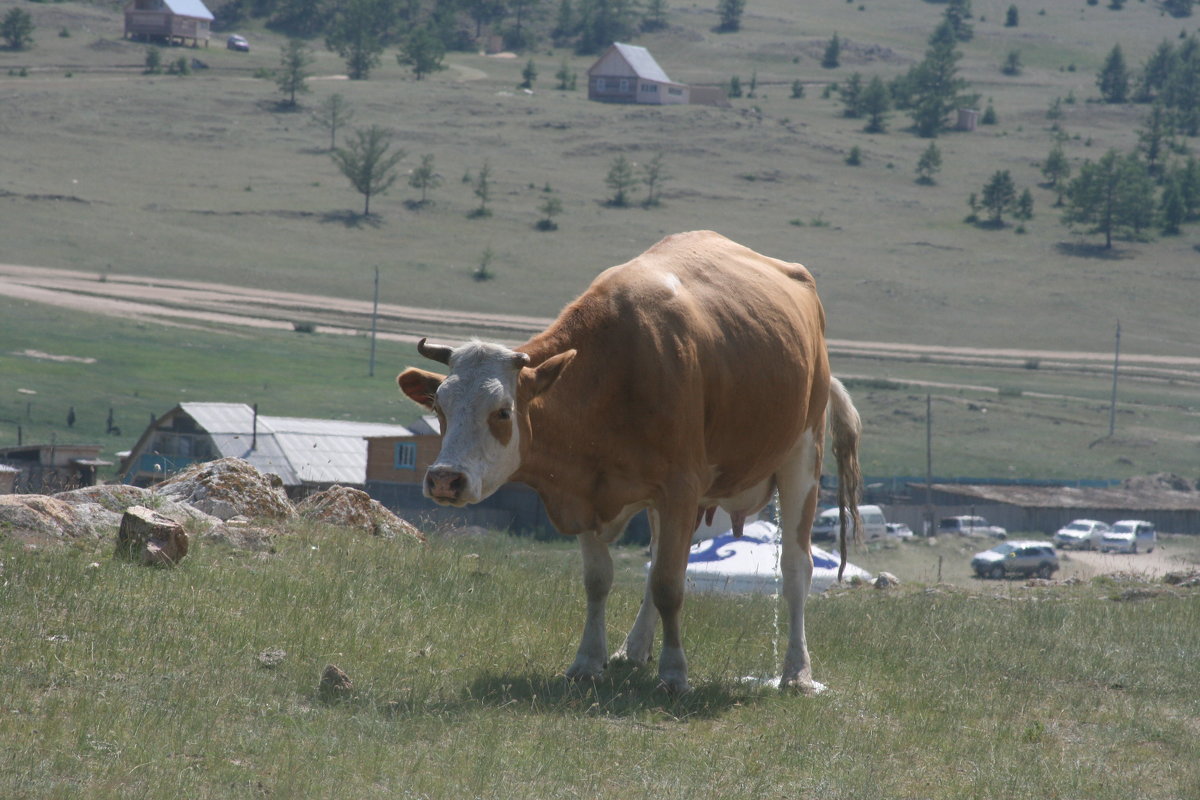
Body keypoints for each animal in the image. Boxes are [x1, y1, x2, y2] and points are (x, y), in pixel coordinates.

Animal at [400, 230, 864, 695]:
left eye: (501, 412)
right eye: (439, 407)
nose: (444, 479)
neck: (614, 373)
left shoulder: (679, 488)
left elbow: (670, 585)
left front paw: (675, 672)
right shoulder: (587, 491)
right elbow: (602, 581)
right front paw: (588, 660)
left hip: (801, 458)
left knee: (795, 568)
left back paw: (796, 672)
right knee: (659, 560)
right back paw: (635, 649)